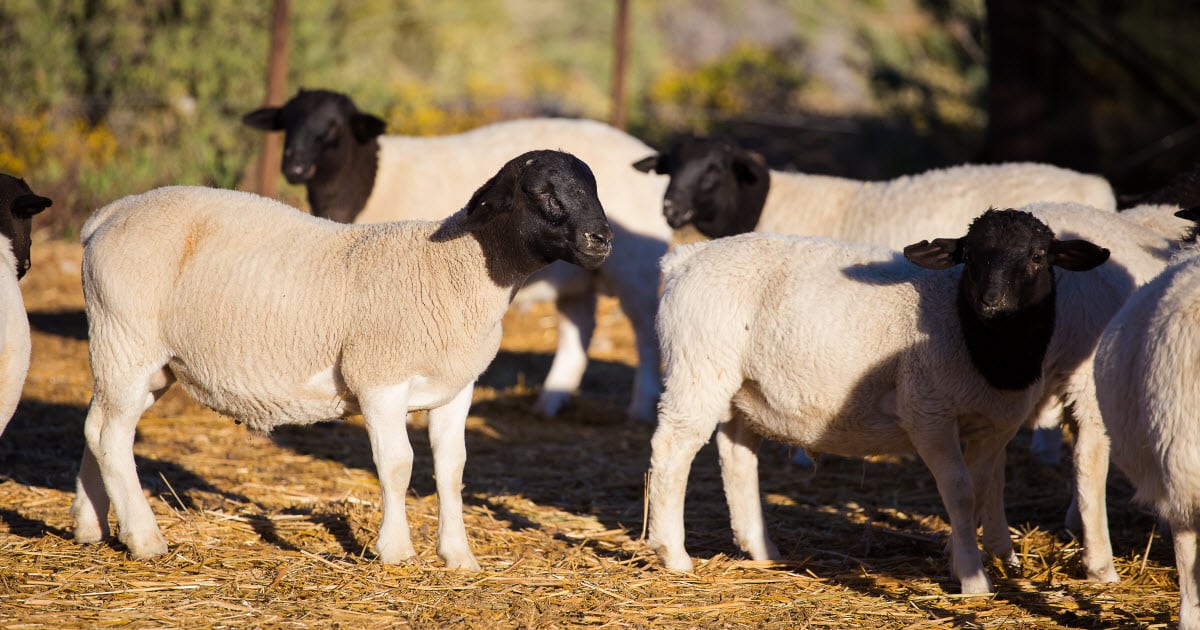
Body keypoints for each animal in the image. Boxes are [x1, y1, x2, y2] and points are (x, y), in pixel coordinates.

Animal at [70, 150, 612, 568]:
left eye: (594, 189)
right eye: (542, 193)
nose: (601, 240)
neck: (457, 270)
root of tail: (106, 216)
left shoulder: (455, 387)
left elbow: (452, 468)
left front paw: (458, 556)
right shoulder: (378, 376)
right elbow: (397, 464)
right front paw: (396, 551)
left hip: (142, 359)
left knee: (97, 427)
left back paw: (90, 526)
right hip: (126, 338)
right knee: (112, 436)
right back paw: (145, 539)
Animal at [243, 88, 671, 421]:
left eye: (333, 126)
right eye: (287, 121)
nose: (294, 167)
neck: (366, 183)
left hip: (636, 267)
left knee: (645, 333)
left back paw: (640, 407)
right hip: (579, 274)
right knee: (578, 328)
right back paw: (552, 400)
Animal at [646, 209, 1109, 594]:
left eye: (1038, 256)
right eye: (971, 256)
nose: (991, 302)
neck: (980, 340)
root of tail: (687, 257)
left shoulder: (996, 423)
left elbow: (982, 489)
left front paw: (966, 559)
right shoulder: (928, 412)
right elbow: (959, 492)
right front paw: (973, 581)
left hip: (745, 385)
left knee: (737, 455)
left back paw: (761, 549)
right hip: (697, 371)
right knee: (671, 451)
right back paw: (673, 554)